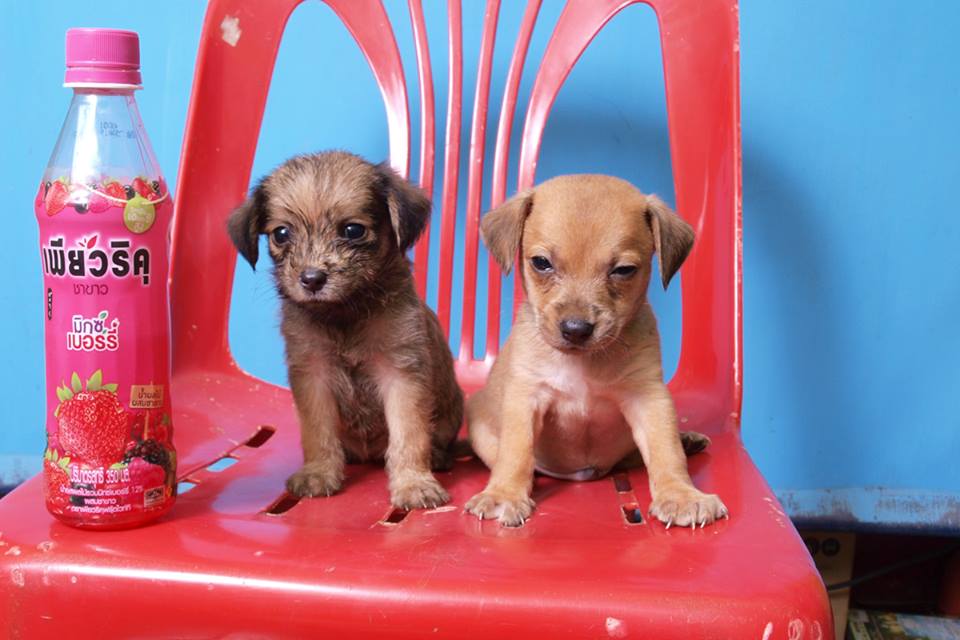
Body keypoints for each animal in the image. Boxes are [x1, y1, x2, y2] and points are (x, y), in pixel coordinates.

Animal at [227, 151, 463, 510]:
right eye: (281, 234)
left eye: (353, 230)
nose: (312, 279)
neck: (343, 314)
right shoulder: (313, 376)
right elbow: (318, 432)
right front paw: (319, 472)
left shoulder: (402, 376)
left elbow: (409, 435)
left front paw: (413, 483)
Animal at [466, 174, 727, 527]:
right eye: (541, 263)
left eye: (624, 270)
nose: (576, 329)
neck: (582, 363)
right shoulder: (526, 397)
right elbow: (516, 452)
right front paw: (503, 494)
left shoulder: (649, 398)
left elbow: (666, 450)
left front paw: (681, 495)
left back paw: (687, 440)